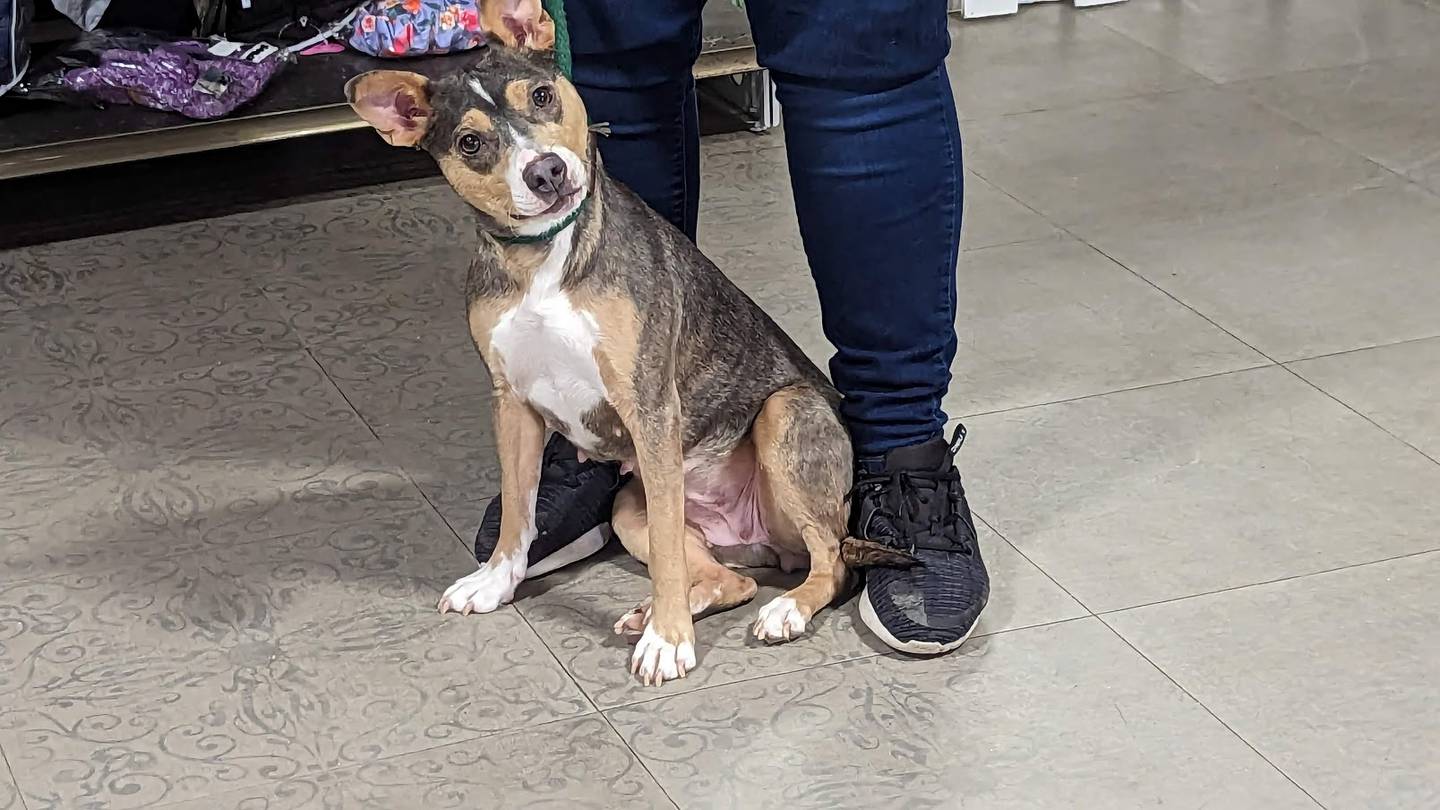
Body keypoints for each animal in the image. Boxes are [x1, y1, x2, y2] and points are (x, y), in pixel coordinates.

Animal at [348, 0, 887, 683]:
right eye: (470, 142)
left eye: (542, 95)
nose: (546, 170)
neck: (546, 258)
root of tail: (761, 541)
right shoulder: (511, 403)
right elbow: (518, 508)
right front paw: (495, 581)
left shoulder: (650, 405)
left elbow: (664, 552)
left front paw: (669, 642)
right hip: (630, 506)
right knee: (727, 578)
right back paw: (659, 608)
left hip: (784, 416)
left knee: (833, 563)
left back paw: (778, 609)